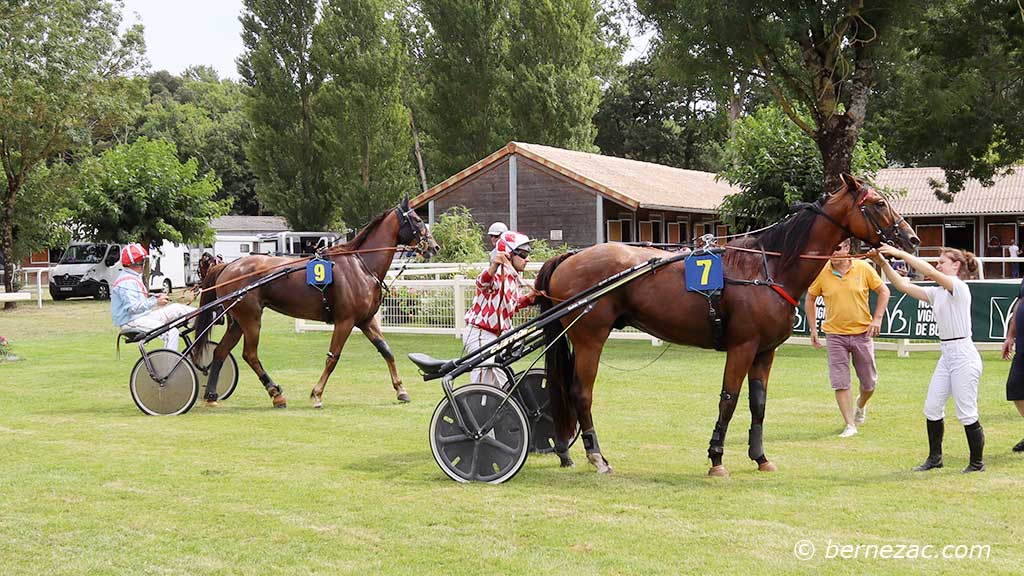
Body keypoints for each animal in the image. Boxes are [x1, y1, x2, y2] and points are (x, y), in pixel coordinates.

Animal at [193, 199, 438, 405]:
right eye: (417, 220)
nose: (434, 246)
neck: (360, 265)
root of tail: (228, 266)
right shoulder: (345, 321)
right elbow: (333, 357)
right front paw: (317, 394)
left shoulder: (366, 320)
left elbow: (386, 350)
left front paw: (401, 390)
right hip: (251, 319)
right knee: (250, 355)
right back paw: (275, 393)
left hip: (237, 321)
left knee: (221, 352)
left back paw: (212, 395)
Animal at [536, 175, 921, 475]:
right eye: (879, 203)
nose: (912, 239)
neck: (768, 268)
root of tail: (570, 256)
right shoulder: (742, 347)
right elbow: (729, 399)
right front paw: (716, 457)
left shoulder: (765, 352)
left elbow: (758, 403)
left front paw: (760, 457)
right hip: (590, 338)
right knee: (581, 392)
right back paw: (597, 457)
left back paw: (567, 451)